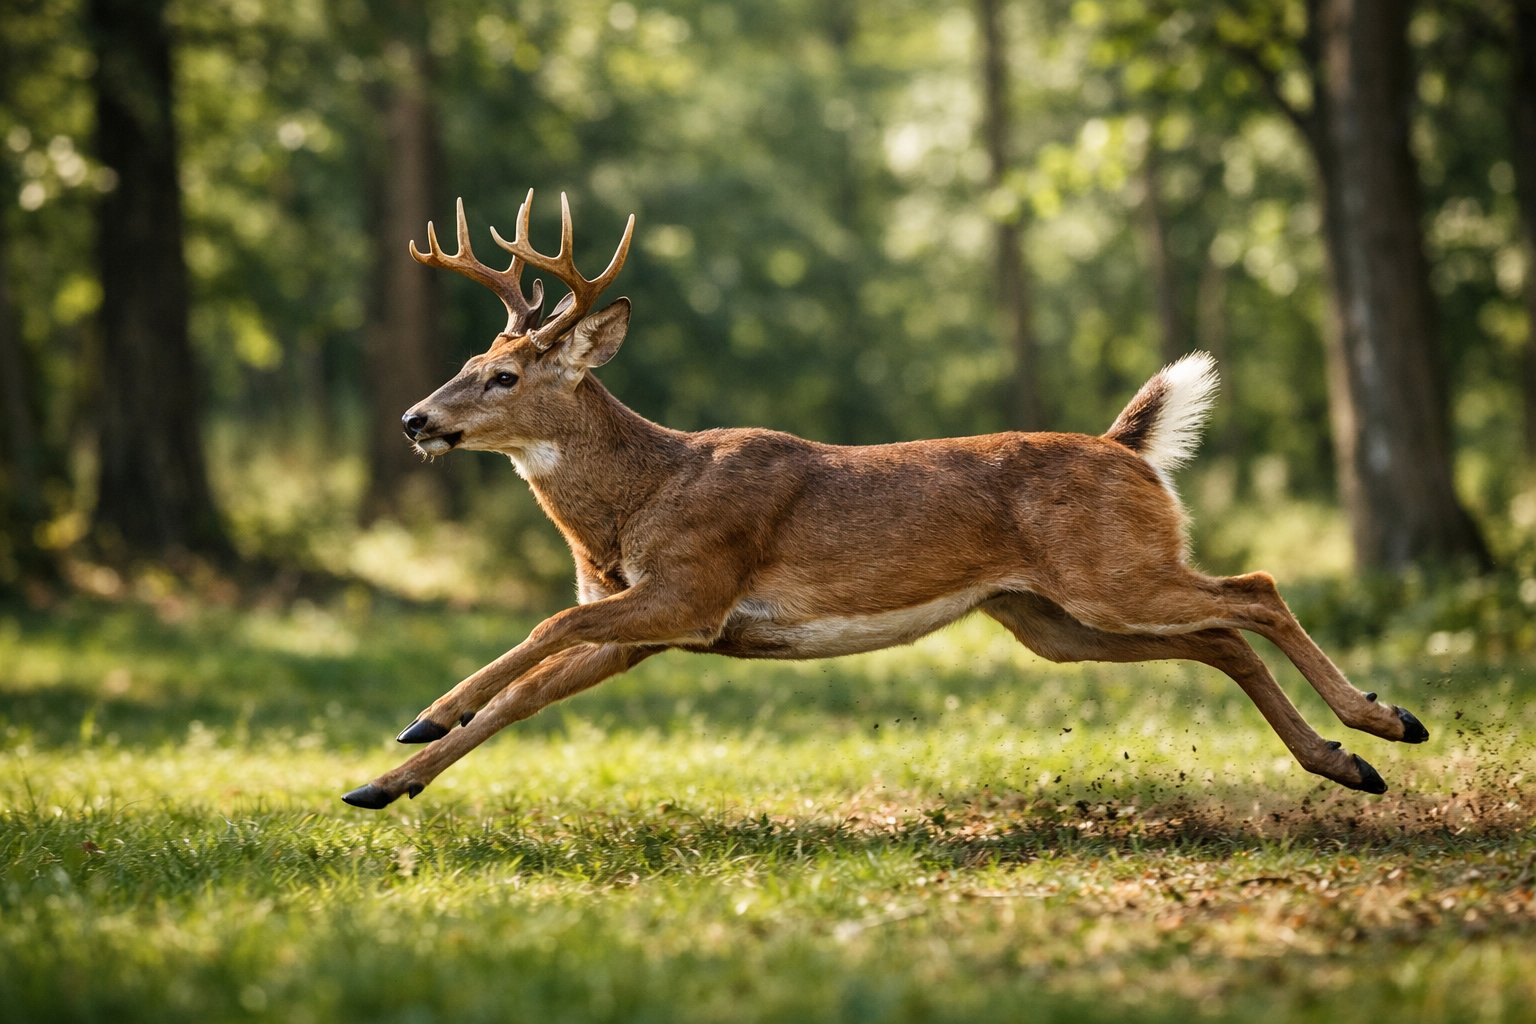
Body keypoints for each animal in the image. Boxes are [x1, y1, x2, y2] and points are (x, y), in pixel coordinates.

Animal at [341, 190, 1429, 810]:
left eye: (503, 377)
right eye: (467, 360)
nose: (413, 418)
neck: (640, 495)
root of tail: (1130, 450)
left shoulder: (693, 587)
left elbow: (542, 626)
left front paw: (420, 719)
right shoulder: (648, 626)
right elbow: (524, 693)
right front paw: (379, 782)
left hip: (1110, 575)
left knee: (1257, 588)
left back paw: (1387, 721)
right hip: (1051, 616)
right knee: (1219, 636)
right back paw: (1347, 762)